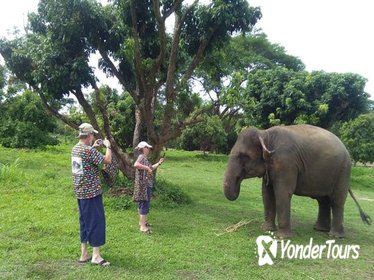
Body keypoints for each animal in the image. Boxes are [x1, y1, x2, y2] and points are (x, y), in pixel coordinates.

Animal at [222, 124, 372, 238]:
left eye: (243, 156)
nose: (237, 184)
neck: (265, 133)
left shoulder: (286, 162)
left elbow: (282, 193)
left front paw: (282, 237)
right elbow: (267, 194)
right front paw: (266, 229)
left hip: (343, 171)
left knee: (336, 201)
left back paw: (335, 236)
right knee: (323, 200)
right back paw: (320, 229)